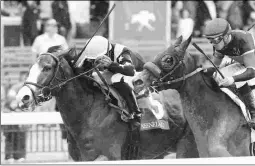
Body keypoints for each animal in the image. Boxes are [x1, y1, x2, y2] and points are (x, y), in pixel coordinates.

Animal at [15, 45, 199, 161]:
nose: (23, 97)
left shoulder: (109, 156)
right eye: (31, 68)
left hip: (188, 147)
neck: (89, 113)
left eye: (47, 68)